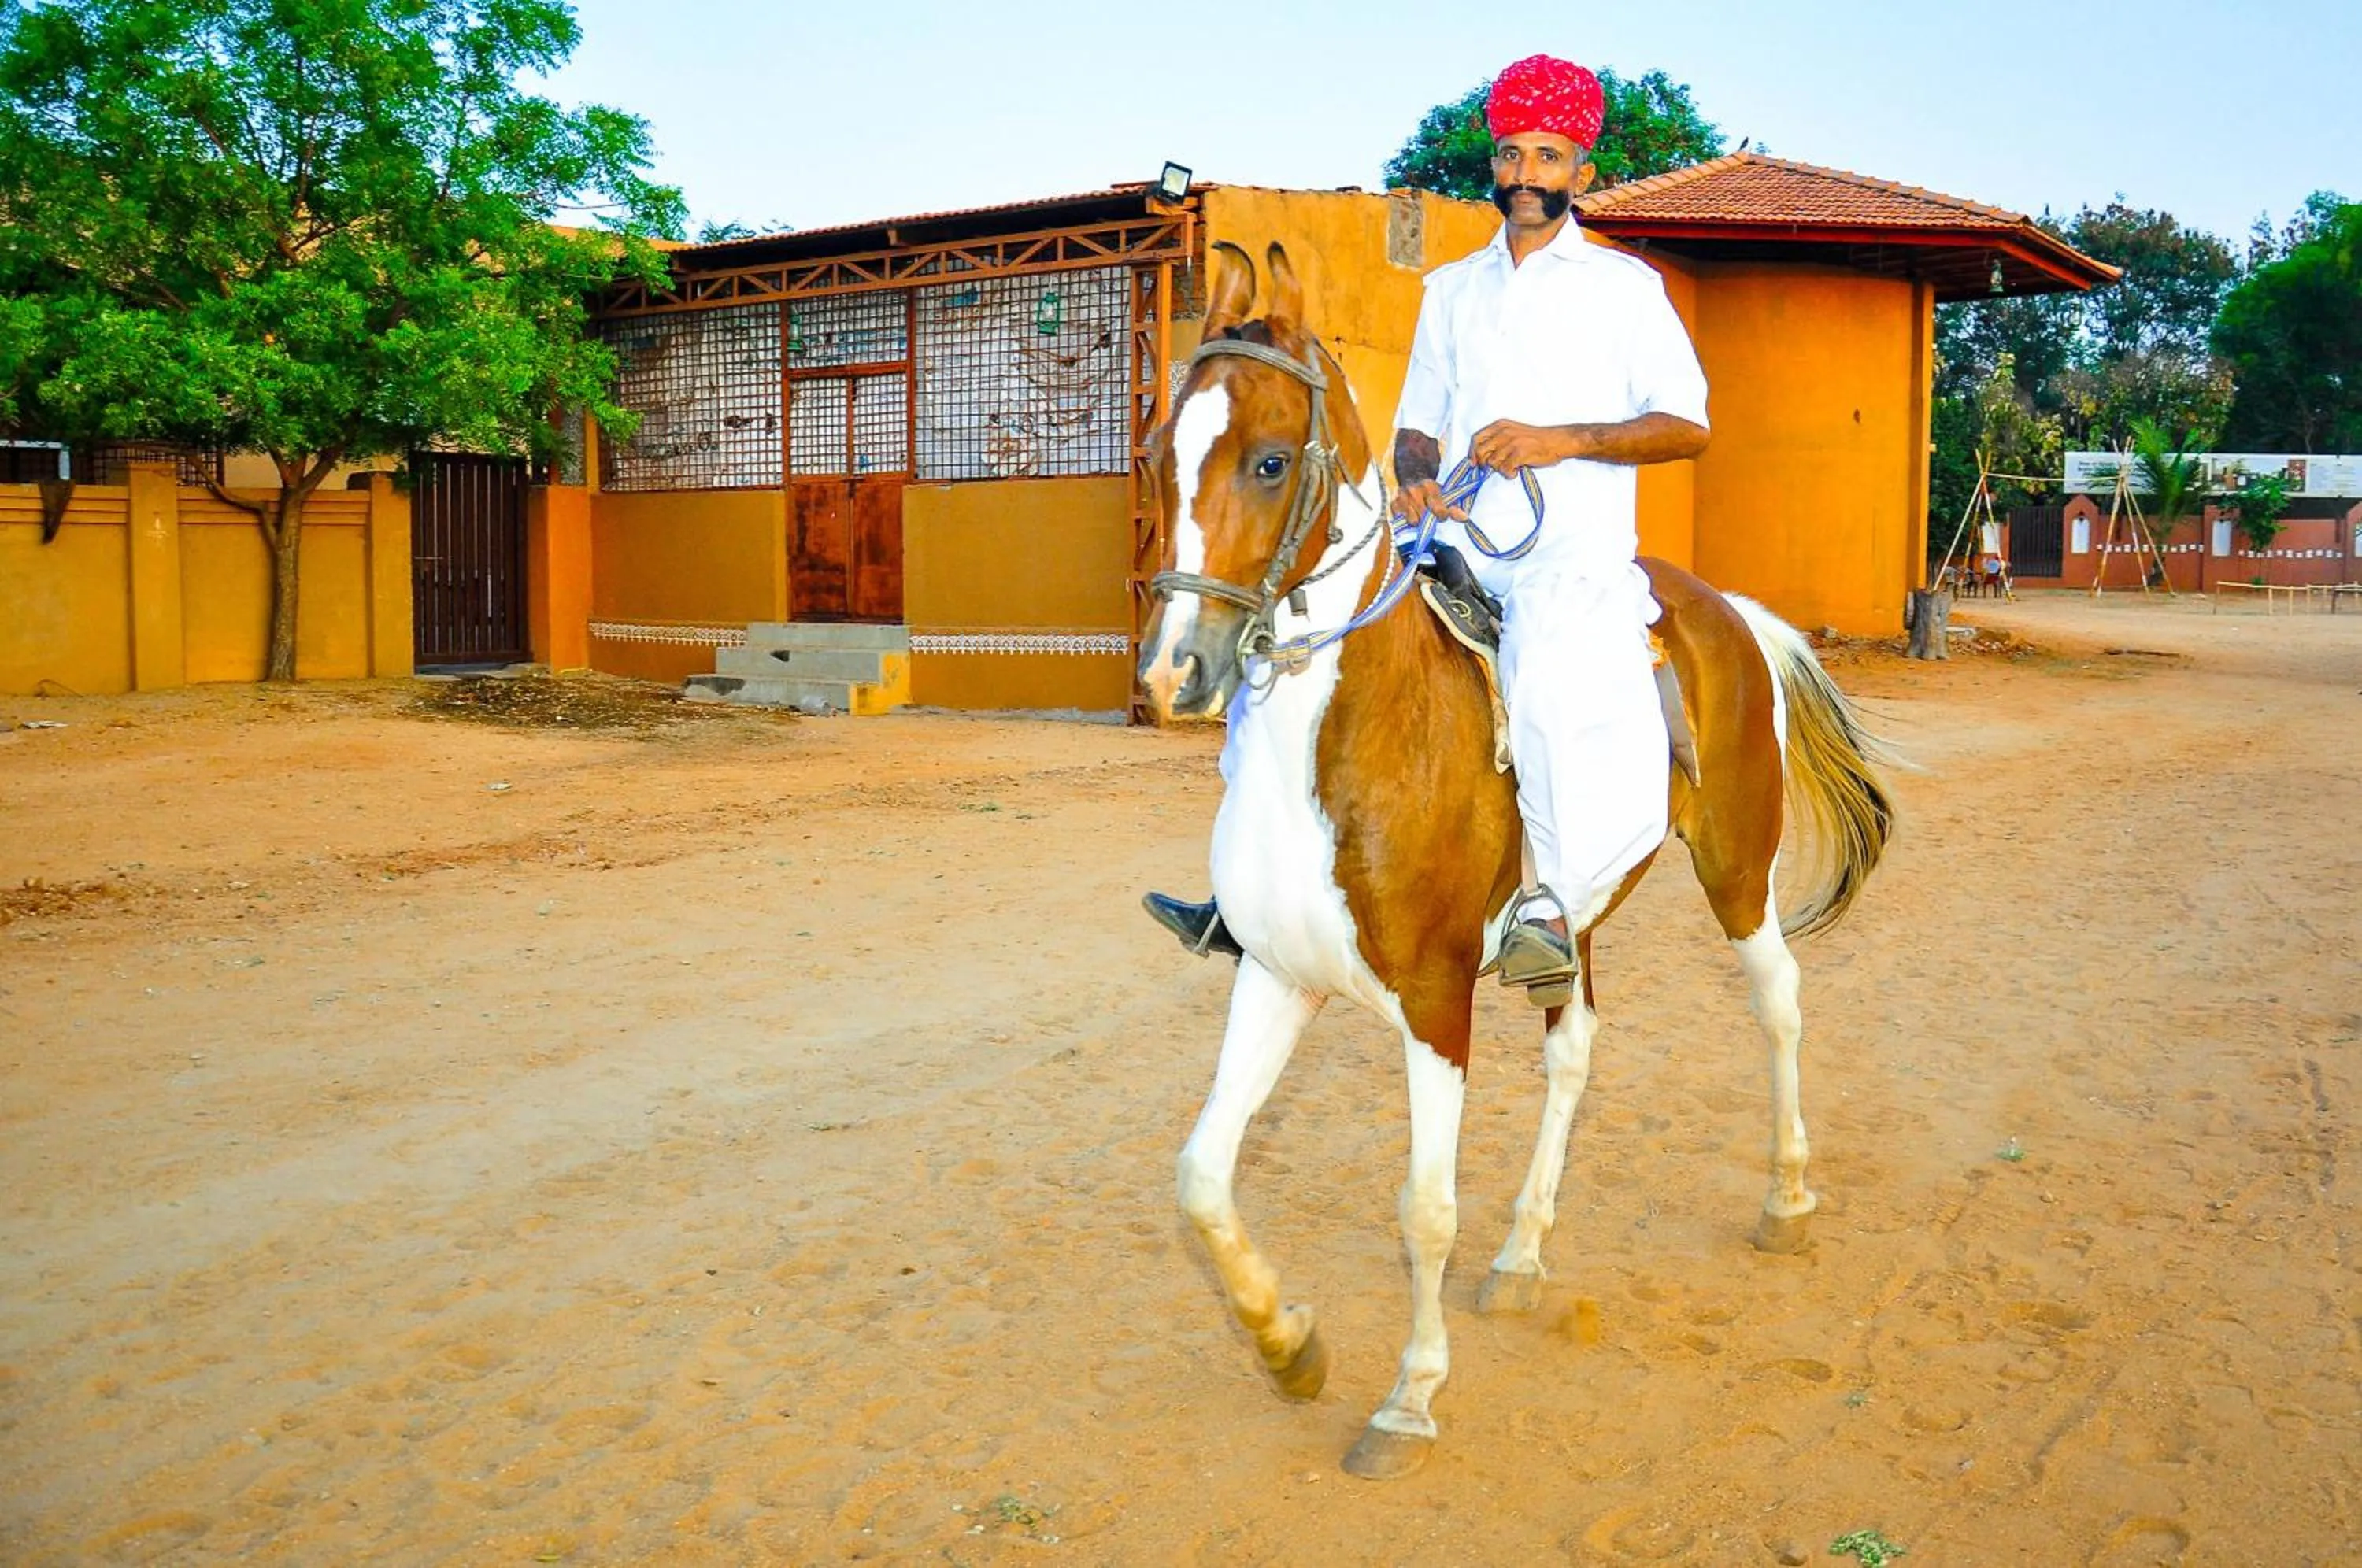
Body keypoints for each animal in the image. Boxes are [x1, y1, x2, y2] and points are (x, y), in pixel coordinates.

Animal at [1137, 241, 1894, 1480]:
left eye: (1268, 460)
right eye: (1159, 456)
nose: (1174, 673)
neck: (1351, 737)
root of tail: (1728, 609)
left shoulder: (1436, 1001)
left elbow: (1424, 1208)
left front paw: (1408, 1399)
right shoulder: (1277, 976)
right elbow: (1203, 1176)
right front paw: (1288, 1345)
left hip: (1739, 875)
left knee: (1779, 1002)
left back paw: (1786, 1200)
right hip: (1570, 920)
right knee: (1576, 1051)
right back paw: (1525, 1255)